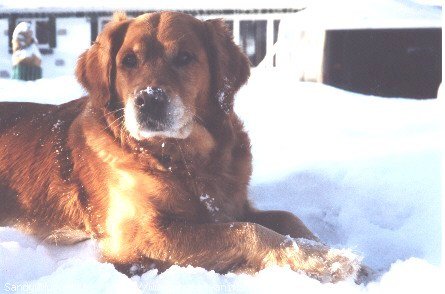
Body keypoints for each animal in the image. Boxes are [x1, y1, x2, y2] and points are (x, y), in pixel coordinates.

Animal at [0, 11, 364, 282]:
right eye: (128, 60)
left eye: (185, 57)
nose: (149, 100)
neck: (186, 161)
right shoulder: (139, 237)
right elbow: (248, 231)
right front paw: (328, 261)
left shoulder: (232, 205)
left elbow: (288, 219)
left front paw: (331, 252)